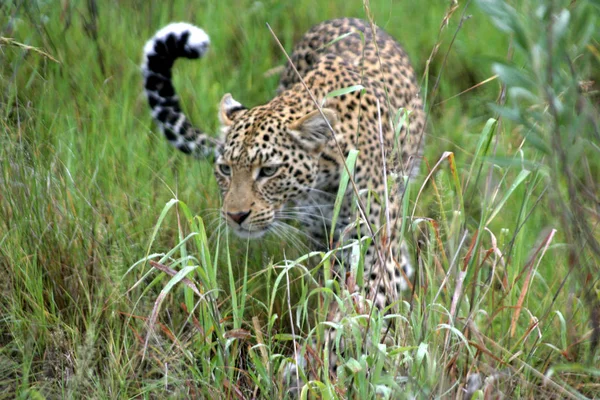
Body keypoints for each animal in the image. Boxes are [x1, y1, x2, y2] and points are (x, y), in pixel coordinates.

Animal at [142, 18, 424, 394]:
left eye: (269, 171)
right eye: (225, 169)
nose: (236, 216)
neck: (325, 178)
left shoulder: (370, 244)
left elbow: (355, 307)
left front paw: (324, 366)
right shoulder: (328, 244)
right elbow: (336, 302)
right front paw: (313, 366)